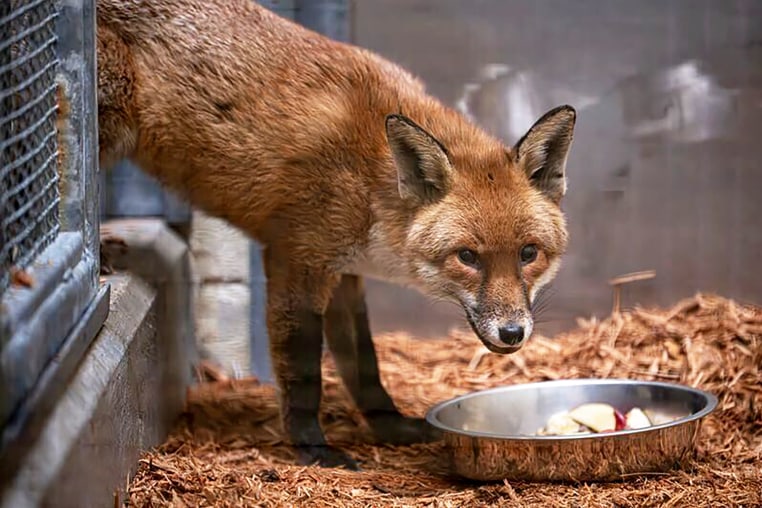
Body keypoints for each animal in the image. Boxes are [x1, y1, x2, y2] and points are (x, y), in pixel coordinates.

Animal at [95, 0, 576, 470]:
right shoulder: (297, 260)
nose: (513, 333)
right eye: (468, 257)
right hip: (110, 121)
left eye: (528, 253)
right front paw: (313, 448)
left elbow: (365, 366)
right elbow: (304, 371)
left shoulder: (345, 273)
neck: (371, 183)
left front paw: (391, 427)